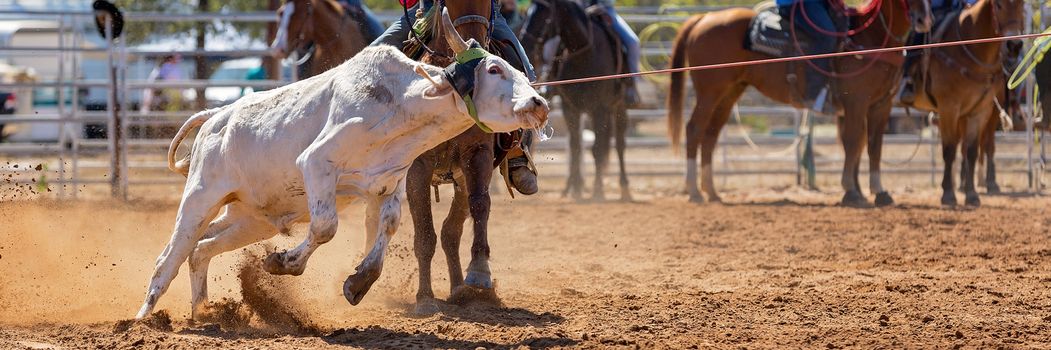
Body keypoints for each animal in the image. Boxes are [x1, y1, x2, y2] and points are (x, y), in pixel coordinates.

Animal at [668, 0, 933, 206]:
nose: (924, 19)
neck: (871, 38)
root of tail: (703, 18)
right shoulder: (856, 103)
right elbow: (853, 143)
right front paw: (851, 191)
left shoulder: (881, 105)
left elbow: (872, 147)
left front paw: (878, 192)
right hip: (710, 92)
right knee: (694, 130)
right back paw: (694, 191)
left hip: (730, 92)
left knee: (711, 135)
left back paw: (711, 191)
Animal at [908, 0, 1021, 207]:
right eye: (998, 5)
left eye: (1022, 5)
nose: (1014, 45)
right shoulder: (949, 108)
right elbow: (949, 149)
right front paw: (948, 194)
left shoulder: (980, 110)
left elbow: (972, 150)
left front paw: (972, 193)